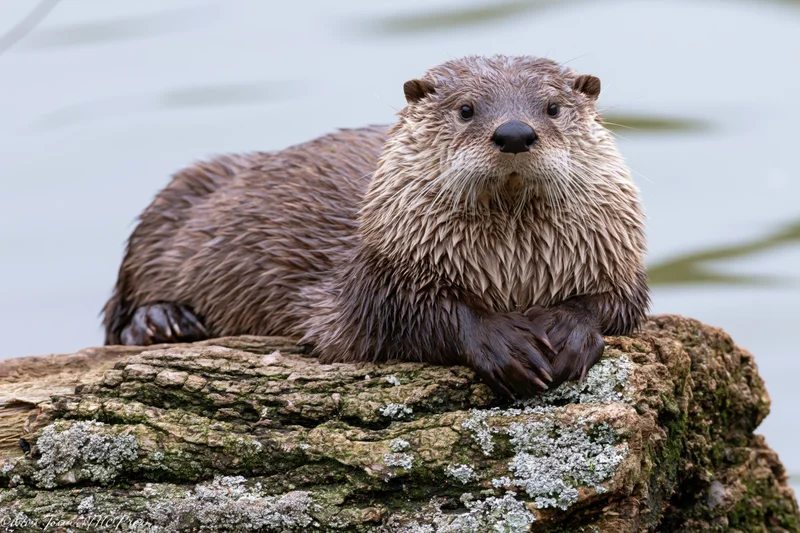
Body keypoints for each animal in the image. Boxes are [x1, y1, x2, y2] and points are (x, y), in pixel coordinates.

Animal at [103, 55, 649, 398]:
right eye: (466, 109)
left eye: (552, 107)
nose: (514, 132)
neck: (511, 268)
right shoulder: (378, 272)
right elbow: (405, 312)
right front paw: (501, 341)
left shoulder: (614, 255)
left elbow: (620, 302)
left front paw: (568, 327)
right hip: (176, 196)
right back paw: (161, 321)